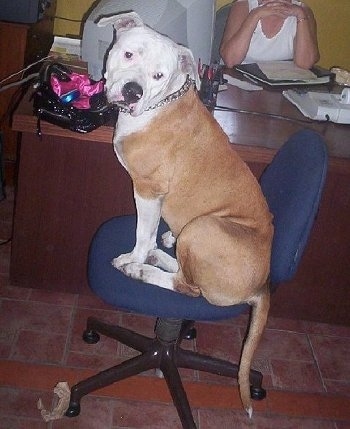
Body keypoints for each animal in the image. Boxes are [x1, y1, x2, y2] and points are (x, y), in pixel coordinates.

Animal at [98, 11, 274, 416]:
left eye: (158, 75)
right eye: (129, 54)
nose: (133, 91)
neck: (161, 102)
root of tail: (262, 284)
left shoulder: (148, 190)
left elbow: (141, 233)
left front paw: (133, 256)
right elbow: (148, 234)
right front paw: (149, 249)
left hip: (205, 229)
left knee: (189, 289)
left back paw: (142, 268)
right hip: (196, 235)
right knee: (182, 267)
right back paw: (161, 253)